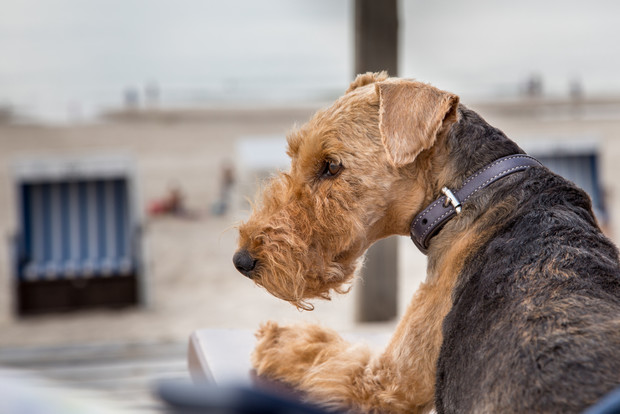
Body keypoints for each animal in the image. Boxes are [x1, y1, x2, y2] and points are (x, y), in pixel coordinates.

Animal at [232, 73, 620, 412]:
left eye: (331, 166)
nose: (242, 260)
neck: (463, 193)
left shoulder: (383, 380)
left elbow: (317, 350)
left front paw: (275, 337)